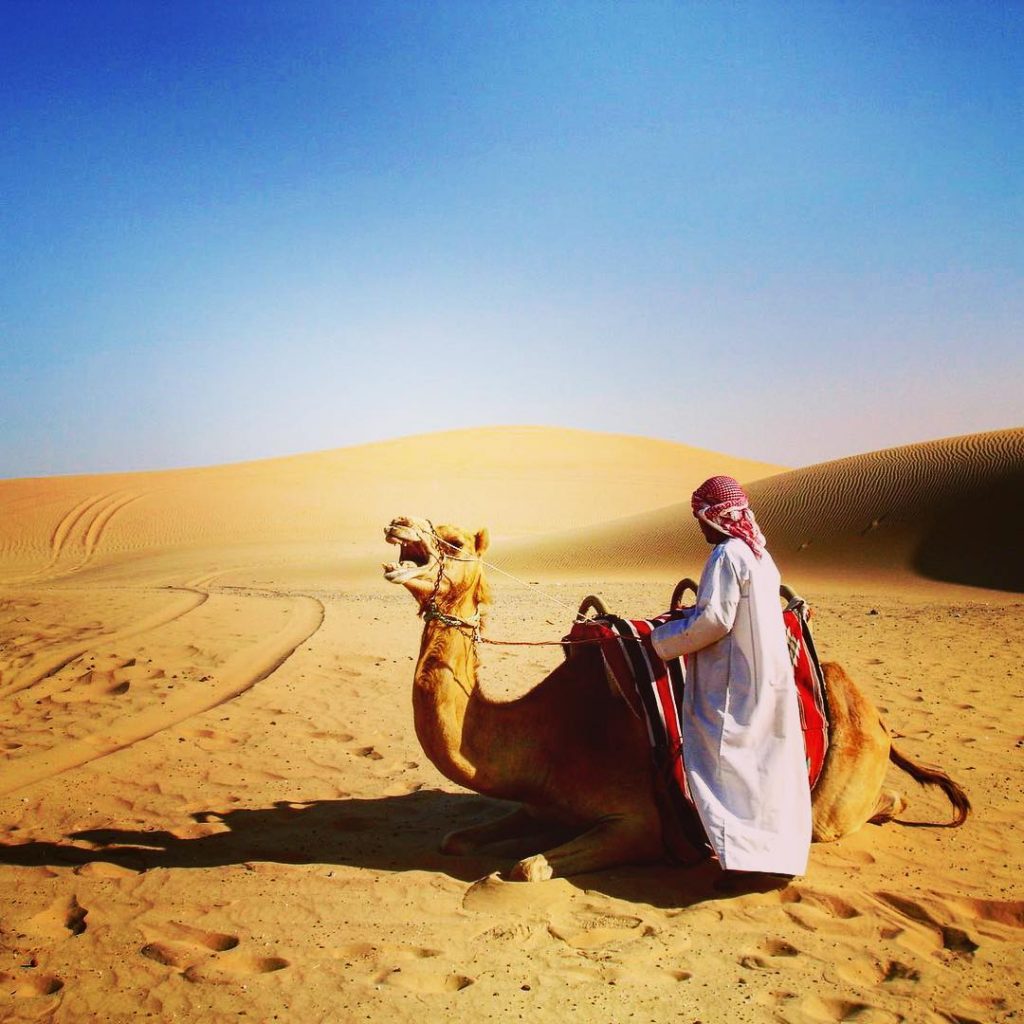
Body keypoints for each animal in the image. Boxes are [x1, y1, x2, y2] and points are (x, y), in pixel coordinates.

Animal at [383, 515, 970, 882]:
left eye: (454, 541)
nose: (397, 523)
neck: (547, 733)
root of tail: (873, 712)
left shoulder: (638, 824)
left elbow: (525, 867)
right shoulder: (538, 804)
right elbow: (456, 840)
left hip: (835, 793)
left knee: (876, 805)